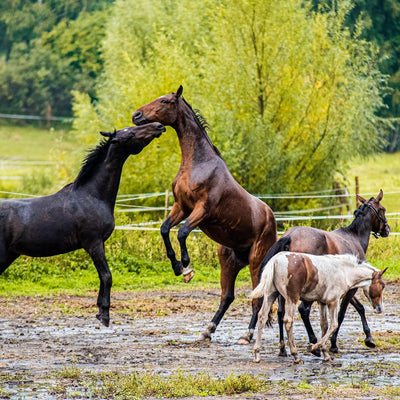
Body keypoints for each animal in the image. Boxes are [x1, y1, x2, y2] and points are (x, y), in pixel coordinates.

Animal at [0, 123, 165, 326]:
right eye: (131, 133)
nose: (159, 126)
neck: (91, 196)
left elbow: (103, 276)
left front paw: (100, 310)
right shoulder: (93, 243)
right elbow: (106, 276)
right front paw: (104, 315)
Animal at [133, 85, 276, 340]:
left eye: (166, 101)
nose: (136, 115)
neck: (198, 164)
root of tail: (272, 219)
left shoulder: (203, 210)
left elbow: (182, 232)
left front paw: (186, 267)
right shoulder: (181, 207)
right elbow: (165, 229)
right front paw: (177, 266)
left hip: (257, 260)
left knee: (257, 298)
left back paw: (247, 335)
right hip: (228, 261)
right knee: (227, 296)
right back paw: (207, 331)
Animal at [253, 252, 388, 364]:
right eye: (382, 286)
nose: (380, 308)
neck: (344, 271)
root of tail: (275, 260)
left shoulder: (322, 302)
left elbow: (324, 325)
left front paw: (325, 354)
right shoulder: (333, 302)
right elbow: (334, 325)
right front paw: (314, 347)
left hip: (271, 294)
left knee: (262, 317)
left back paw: (257, 354)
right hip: (292, 298)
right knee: (288, 321)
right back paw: (296, 355)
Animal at [258, 189, 390, 354]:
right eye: (382, 209)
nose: (387, 229)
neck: (354, 237)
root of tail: (290, 235)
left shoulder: (346, 287)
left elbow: (359, 308)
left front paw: (369, 338)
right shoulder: (349, 289)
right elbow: (341, 315)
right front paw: (333, 344)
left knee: (281, 313)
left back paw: (283, 347)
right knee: (303, 310)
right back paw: (314, 343)